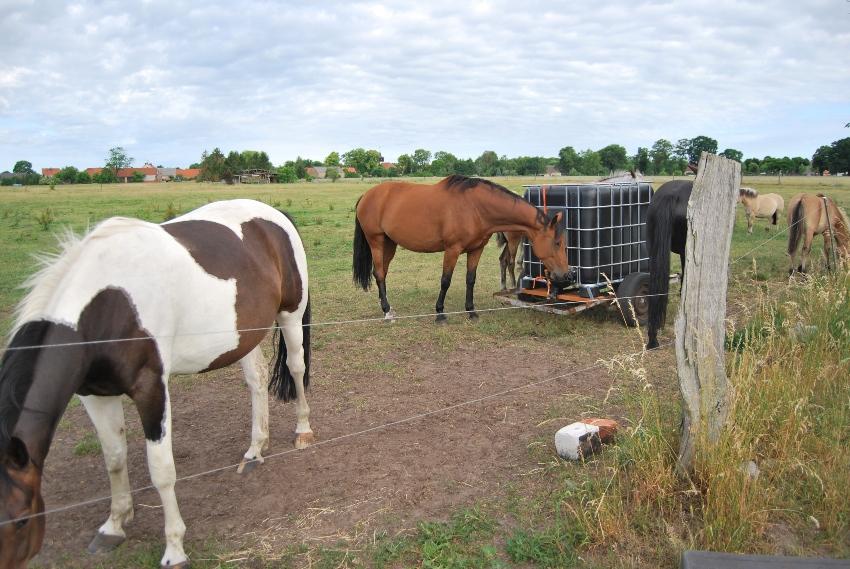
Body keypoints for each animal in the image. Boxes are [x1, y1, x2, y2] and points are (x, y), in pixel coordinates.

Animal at [0, 200, 312, 568]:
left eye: (21, 519)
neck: (108, 304)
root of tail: (272, 213)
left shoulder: (151, 389)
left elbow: (161, 469)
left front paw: (175, 549)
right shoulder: (94, 395)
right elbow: (114, 457)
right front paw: (114, 525)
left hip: (290, 315)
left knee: (296, 367)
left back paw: (303, 430)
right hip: (243, 335)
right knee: (257, 379)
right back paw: (254, 450)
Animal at [352, 175, 568, 322]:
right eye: (557, 243)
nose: (567, 275)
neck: (475, 207)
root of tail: (366, 195)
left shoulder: (476, 250)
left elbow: (470, 279)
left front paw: (471, 311)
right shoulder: (452, 250)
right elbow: (445, 280)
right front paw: (440, 313)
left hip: (389, 244)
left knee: (381, 273)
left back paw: (387, 308)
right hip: (376, 242)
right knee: (379, 274)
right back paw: (387, 311)